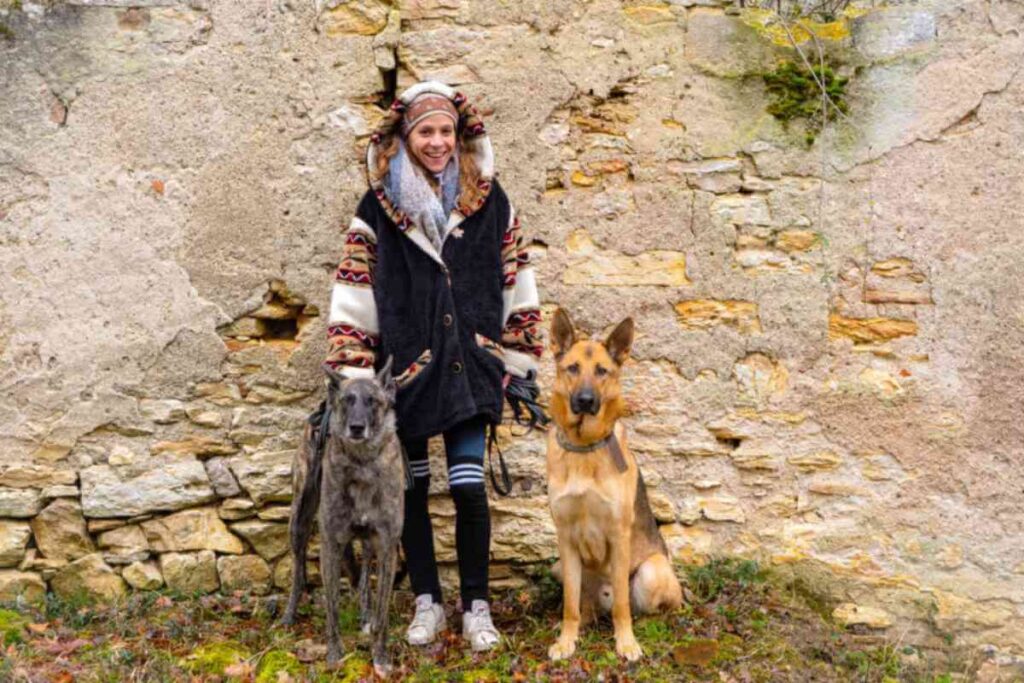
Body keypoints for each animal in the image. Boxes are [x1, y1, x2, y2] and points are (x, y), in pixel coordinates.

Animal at [284, 360, 407, 675]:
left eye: (373, 401)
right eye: (346, 400)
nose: (356, 427)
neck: (362, 463)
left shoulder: (387, 546)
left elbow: (382, 612)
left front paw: (380, 656)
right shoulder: (331, 544)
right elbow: (333, 610)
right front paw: (334, 654)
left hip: (367, 542)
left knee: (362, 579)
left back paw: (365, 615)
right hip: (299, 521)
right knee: (298, 570)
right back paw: (289, 614)